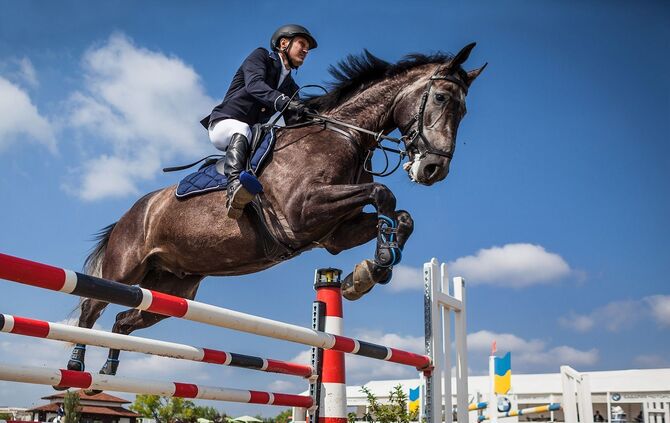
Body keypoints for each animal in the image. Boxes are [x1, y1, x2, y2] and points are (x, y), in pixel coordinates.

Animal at [63, 43, 486, 383]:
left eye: (464, 109)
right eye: (441, 99)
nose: (433, 169)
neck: (344, 136)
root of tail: (131, 213)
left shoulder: (334, 233)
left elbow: (401, 216)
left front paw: (370, 271)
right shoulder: (303, 212)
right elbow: (384, 193)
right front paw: (372, 268)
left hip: (172, 288)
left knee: (124, 319)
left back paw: (108, 370)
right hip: (125, 268)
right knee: (90, 309)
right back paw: (76, 365)